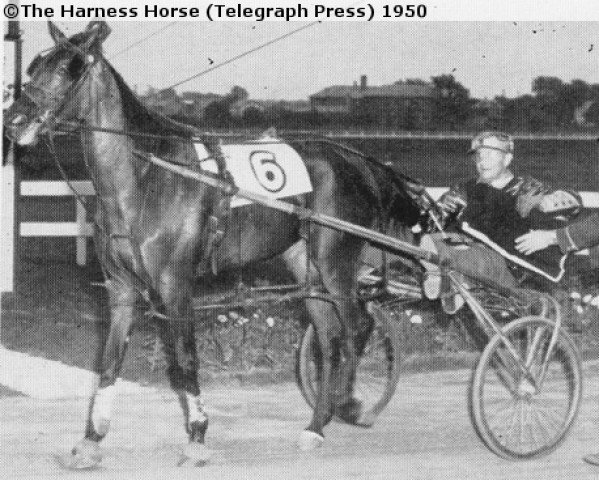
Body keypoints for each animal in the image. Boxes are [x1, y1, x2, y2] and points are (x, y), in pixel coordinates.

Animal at [3, 22, 422, 468]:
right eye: (34, 66)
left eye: (70, 67)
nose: (14, 121)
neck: (148, 175)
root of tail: (359, 161)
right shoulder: (121, 289)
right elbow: (109, 362)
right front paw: (91, 440)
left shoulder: (176, 286)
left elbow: (186, 362)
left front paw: (198, 437)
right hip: (304, 266)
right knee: (330, 339)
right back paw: (316, 425)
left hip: (333, 259)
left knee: (357, 324)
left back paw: (349, 404)